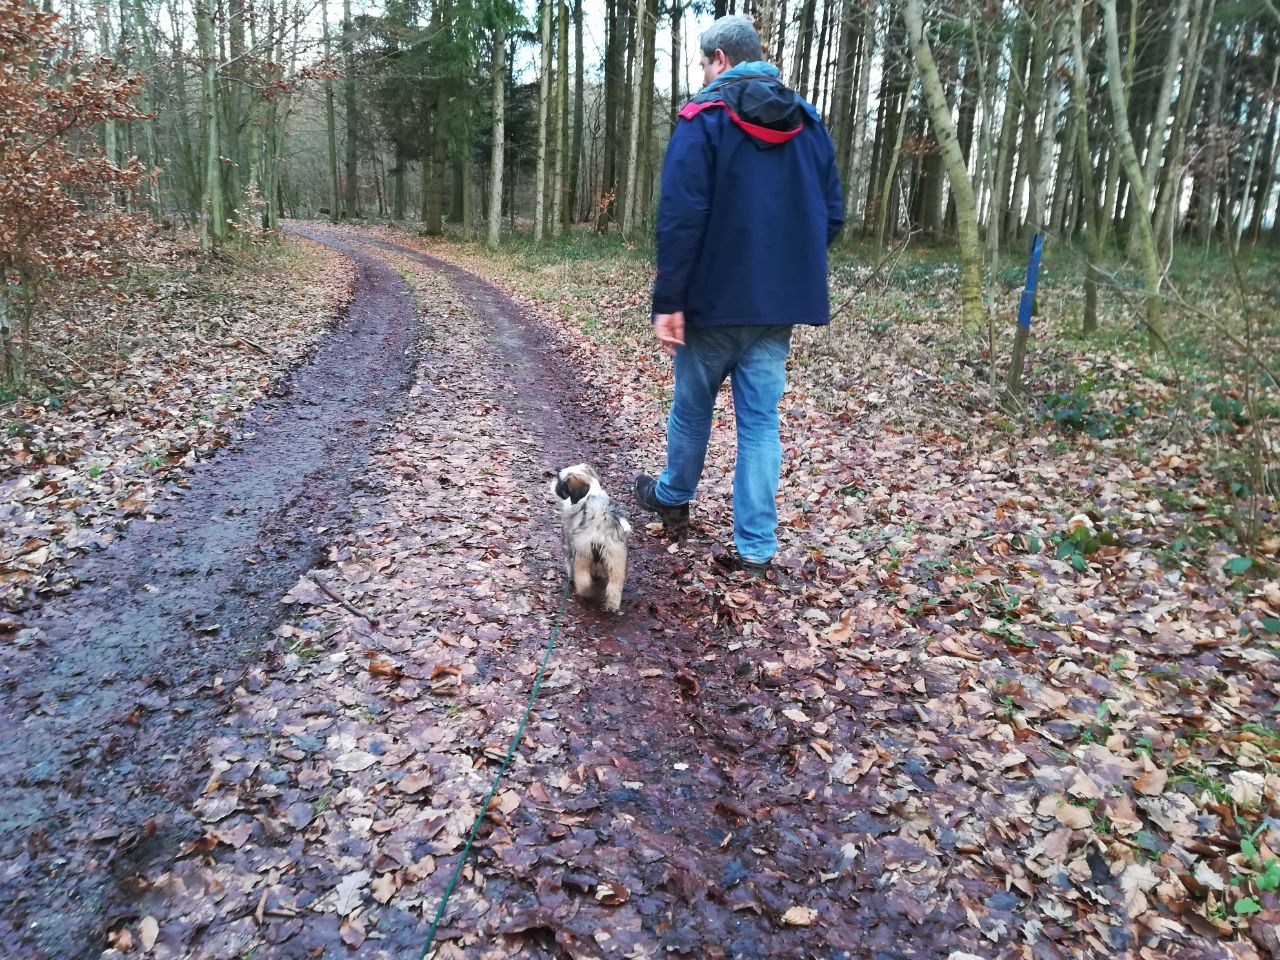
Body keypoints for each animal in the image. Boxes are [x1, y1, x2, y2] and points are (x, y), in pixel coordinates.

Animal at [550, 465, 629, 616]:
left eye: (560, 483)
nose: (552, 484)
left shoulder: (569, 545)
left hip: (582, 555)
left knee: (583, 578)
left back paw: (585, 591)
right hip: (616, 559)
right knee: (614, 585)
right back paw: (612, 605)